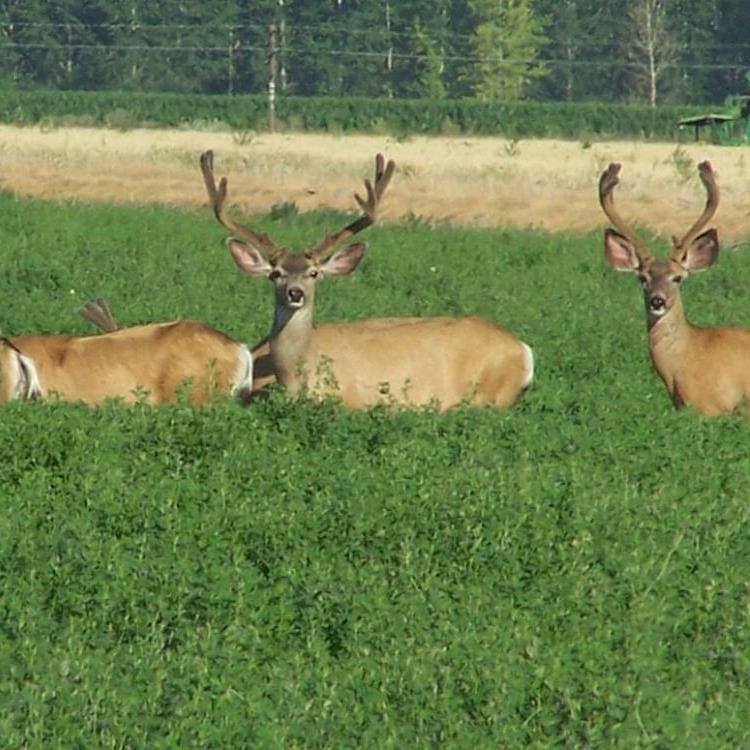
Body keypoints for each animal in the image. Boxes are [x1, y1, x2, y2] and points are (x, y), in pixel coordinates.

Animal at [200, 150, 534, 410]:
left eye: (313, 273)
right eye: (275, 273)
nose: (295, 293)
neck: (298, 375)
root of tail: (523, 349)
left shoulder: (356, 398)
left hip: (491, 394)